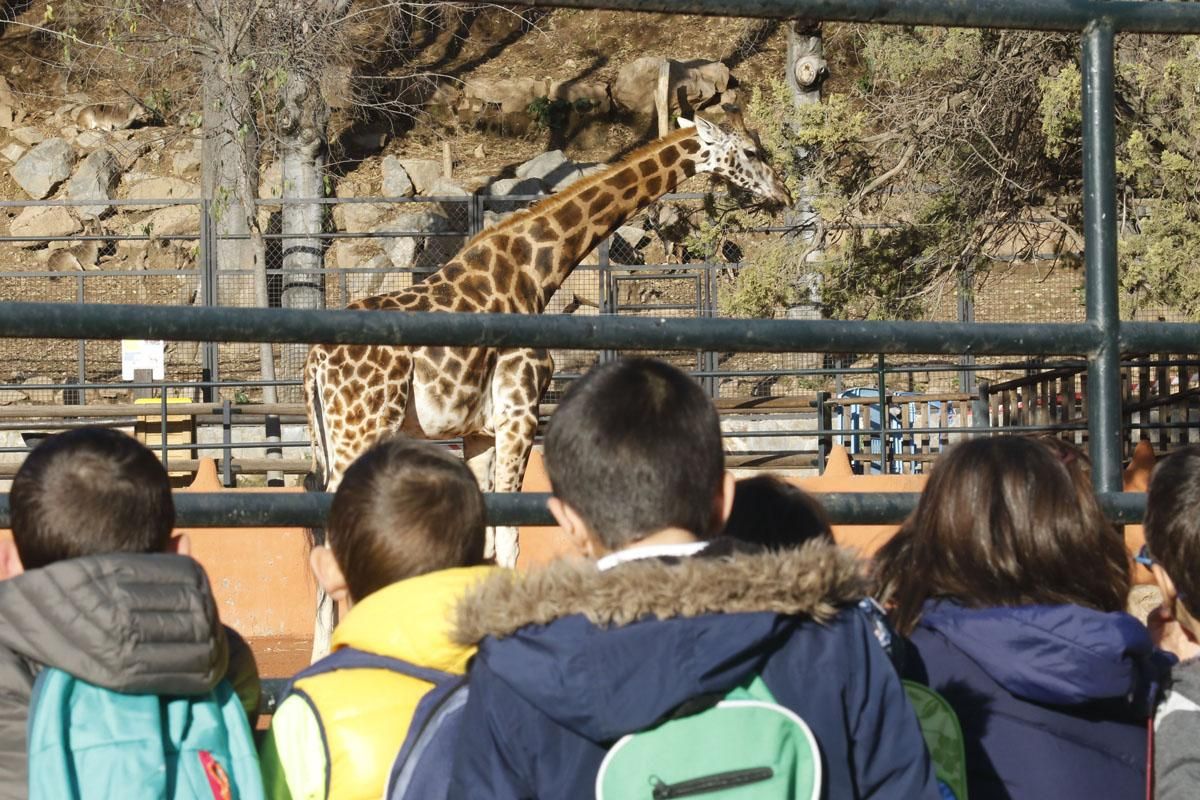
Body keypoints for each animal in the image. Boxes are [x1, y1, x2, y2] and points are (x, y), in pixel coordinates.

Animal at [302, 107, 787, 657]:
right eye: (750, 151)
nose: (782, 193)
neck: (538, 270)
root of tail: (316, 361)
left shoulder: (479, 431)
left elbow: (487, 540)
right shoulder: (521, 411)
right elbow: (511, 539)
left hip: (331, 437)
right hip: (360, 428)